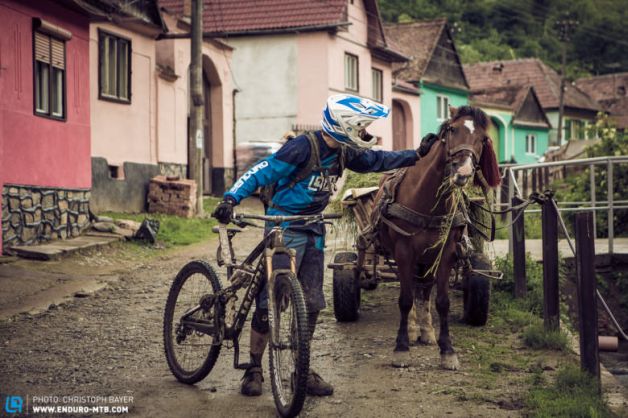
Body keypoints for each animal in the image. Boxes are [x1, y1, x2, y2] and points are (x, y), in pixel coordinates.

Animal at [372, 106, 500, 370]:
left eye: (483, 139)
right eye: (451, 129)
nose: (463, 171)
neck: (427, 198)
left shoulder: (446, 252)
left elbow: (441, 301)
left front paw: (447, 350)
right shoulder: (404, 252)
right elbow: (405, 299)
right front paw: (401, 348)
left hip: (427, 258)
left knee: (424, 288)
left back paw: (426, 330)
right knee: (411, 288)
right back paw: (413, 329)